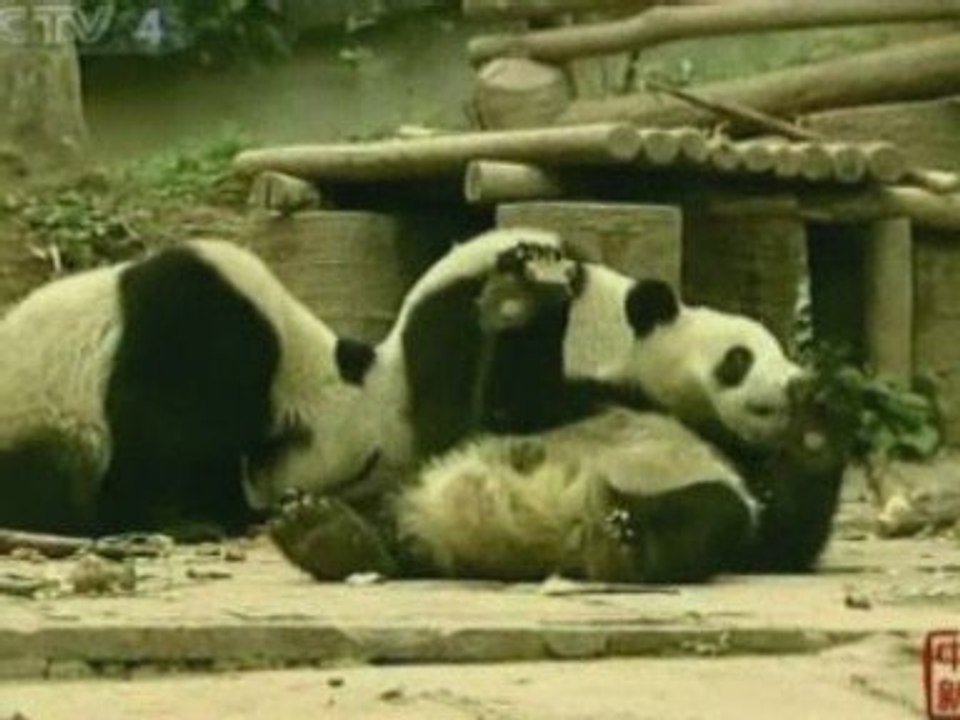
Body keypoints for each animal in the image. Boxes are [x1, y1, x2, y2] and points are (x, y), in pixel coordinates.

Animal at [0, 240, 380, 538]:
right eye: (365, 468)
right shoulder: (199, 330)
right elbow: (158, 428)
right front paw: (192, 521)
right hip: (39, 418)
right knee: (45, 478)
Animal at [270, 228, 852, 582]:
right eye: (739, 359)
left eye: (782, 351)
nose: (789, 384)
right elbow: (502, 408)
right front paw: (523, 302)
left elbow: (780, 536)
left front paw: (818, 419)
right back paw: (327, 534)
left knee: (713, 511)